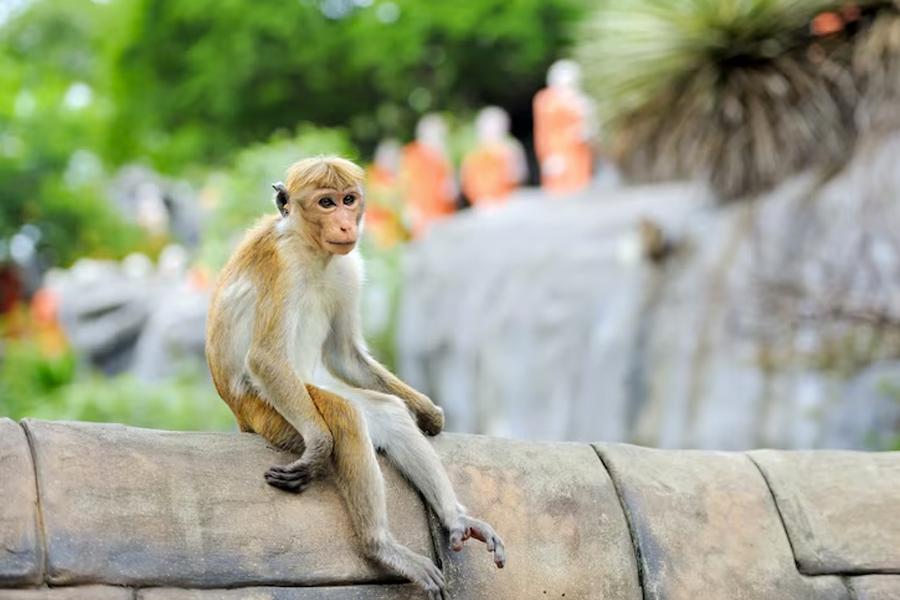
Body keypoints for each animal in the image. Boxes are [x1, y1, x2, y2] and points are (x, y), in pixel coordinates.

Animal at [206, 156, 505, 599]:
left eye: (349, 200)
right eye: (326, 203)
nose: (346, 224)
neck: (310, 248)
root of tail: (239, 416)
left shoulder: (347, 266)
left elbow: (344, 355)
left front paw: (429, 413)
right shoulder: (282, 264)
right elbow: (266, 358)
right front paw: (318, 446)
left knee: (386, 413)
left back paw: (455, 519)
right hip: (269, 410)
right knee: (343, 414)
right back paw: (379, 545)